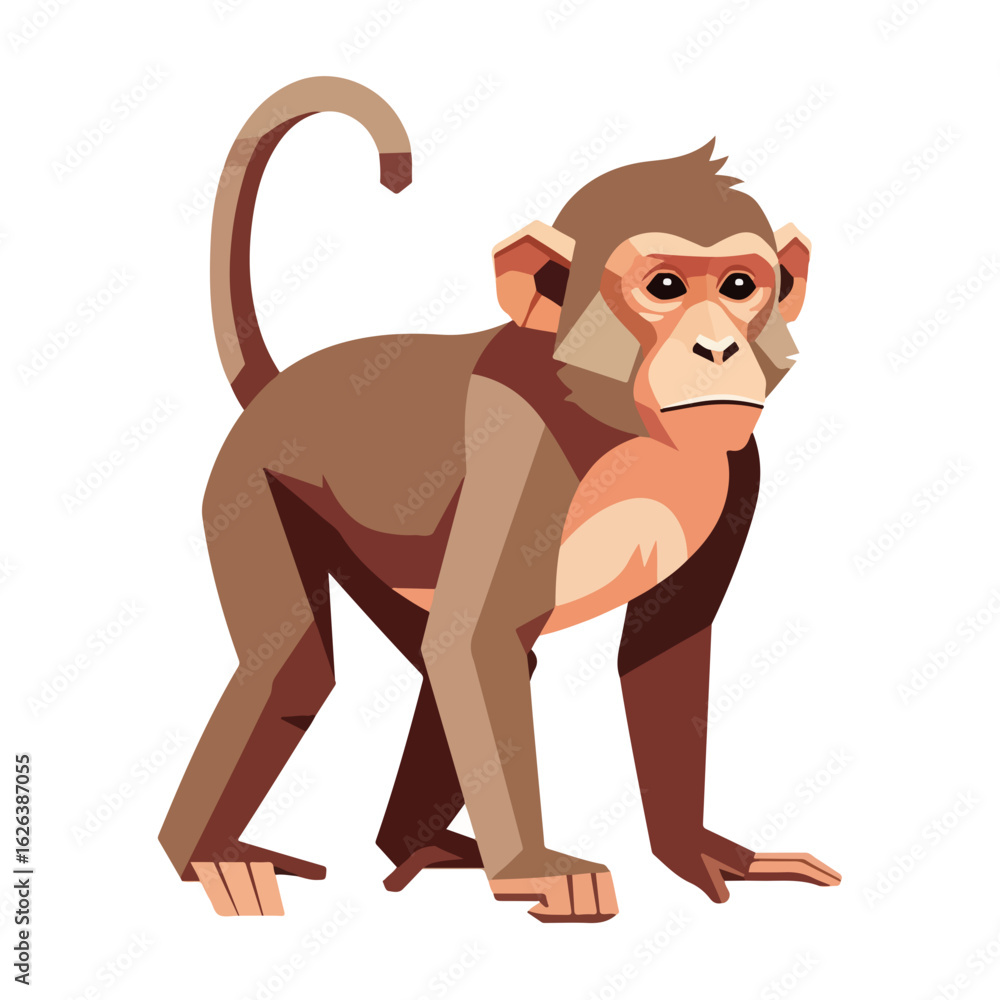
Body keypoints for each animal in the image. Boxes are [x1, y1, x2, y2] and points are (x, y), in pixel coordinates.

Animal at [159, 77, 841, 922]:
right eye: (666, 287)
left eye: (742, 287)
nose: (717, 348)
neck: (623, 427)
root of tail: (279, 392)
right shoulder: (520, 445)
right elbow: (472, 641)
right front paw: (531, 869)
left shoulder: (737, 468)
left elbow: (662, 652)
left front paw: (694, 851)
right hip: (249, 482)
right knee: (295, 668)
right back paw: (203, 853)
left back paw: (414, 846)